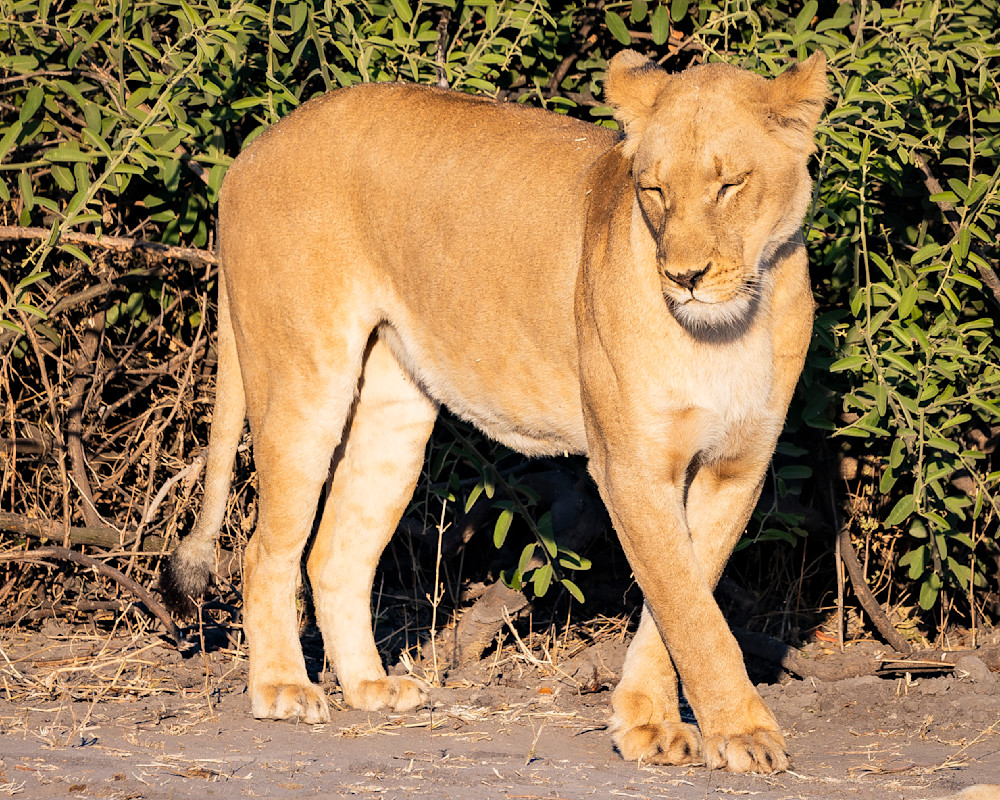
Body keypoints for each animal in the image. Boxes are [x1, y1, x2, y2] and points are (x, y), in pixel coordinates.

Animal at [161, 49, 827, 774]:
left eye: (730, 184)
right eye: (653, 191)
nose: (684, 277)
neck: (734, 329)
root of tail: (253, 149)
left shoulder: (738, 467)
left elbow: (683, 598)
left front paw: (648, 722)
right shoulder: (631, 465)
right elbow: (692, 613)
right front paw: (742, 731)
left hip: (394, 407)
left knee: (335, 551)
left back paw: (369, 687)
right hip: (303, 376)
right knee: (266, 549)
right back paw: (283, 687)